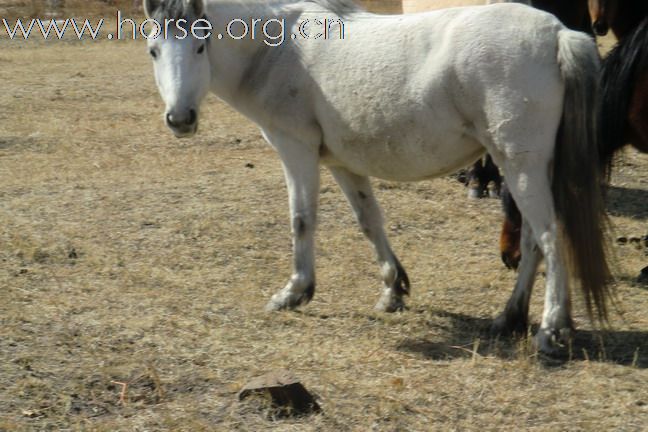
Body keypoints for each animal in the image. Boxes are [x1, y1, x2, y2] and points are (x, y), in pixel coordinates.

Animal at [143, 0, 612, 352]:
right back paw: (510, 317)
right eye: (153, 50)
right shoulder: (343, 163)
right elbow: (370, 222)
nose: (180, 119)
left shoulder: (296, 149)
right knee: (532, 239)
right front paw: (393, 290)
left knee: (548, 236)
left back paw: (551, 330)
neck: (275, 50)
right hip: (528, 168)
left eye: (201, 45)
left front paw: (295, 291)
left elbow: (301, 220)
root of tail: (557, 33)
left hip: (520, 164)